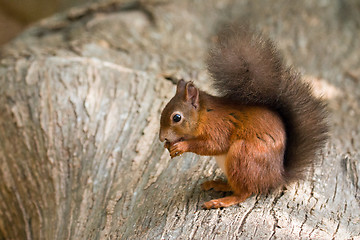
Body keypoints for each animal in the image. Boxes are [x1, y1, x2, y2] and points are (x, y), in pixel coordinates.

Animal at [159, 26, 328, 209]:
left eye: (176, 117)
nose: (162, 138)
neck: (205, 114)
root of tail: (276, 177)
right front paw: (169, 146)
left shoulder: (220, 126)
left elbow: (213, 145)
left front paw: (182, 146)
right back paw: (218, 184)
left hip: (243, 156)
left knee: (244, 192)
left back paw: (221, 201)